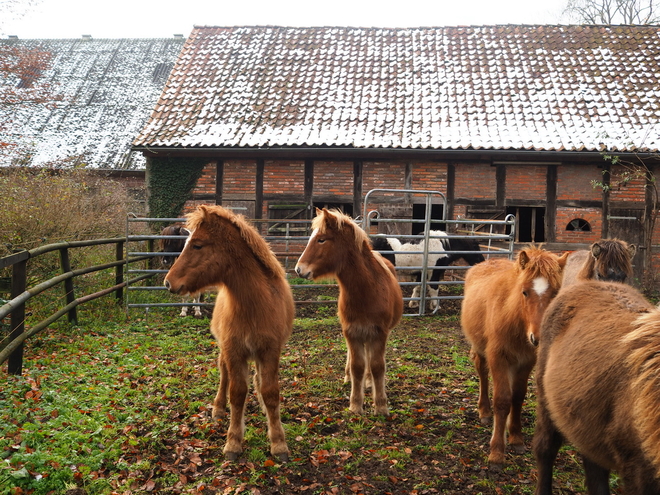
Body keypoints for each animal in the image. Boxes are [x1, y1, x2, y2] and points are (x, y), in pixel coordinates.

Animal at [163, 204, 294, 462]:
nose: (168, 282)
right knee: (223, 372)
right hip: (225, 348)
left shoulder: (270, 351)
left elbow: (270, 392)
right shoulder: (234, 351)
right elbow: (237, 392)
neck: (254, 305)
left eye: (197, 245)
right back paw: (218, 408)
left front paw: (278, 443)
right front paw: (233, 442)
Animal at [296, 207, 404, 416]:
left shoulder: (379, 333)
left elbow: (377, 366)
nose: (299, 269)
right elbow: (357, 366)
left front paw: (381, 406)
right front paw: (355, 405)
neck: (367, 290)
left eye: (321, 239)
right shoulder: (352, 332)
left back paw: (369, 382)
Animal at [458, 247, 568, 468]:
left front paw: (516, 438)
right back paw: (484, 411)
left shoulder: (526, 362)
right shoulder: (498, 358)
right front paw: (497, 453)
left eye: (555, 293)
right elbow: (502, 401)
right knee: (482, 372)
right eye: (524, 291)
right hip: (481, 349)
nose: (538, 337)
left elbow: (517, 397)